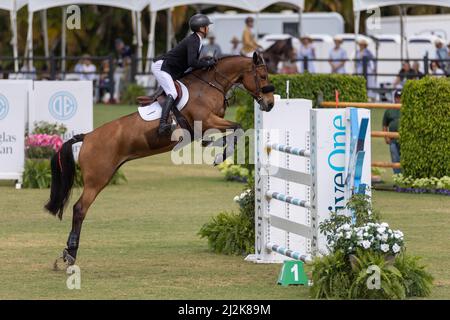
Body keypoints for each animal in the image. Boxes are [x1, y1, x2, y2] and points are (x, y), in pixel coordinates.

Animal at [44, 52, 274, 268]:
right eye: (263, 76)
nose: (270, 104)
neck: (211, 85)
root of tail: (87, 137)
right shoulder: (207, 121)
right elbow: (237, 127)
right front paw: (220, 154)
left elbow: (233, 130)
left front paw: (215, 149)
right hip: (97, 179)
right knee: (79, 209)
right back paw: (70, 253)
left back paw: (69, 252)